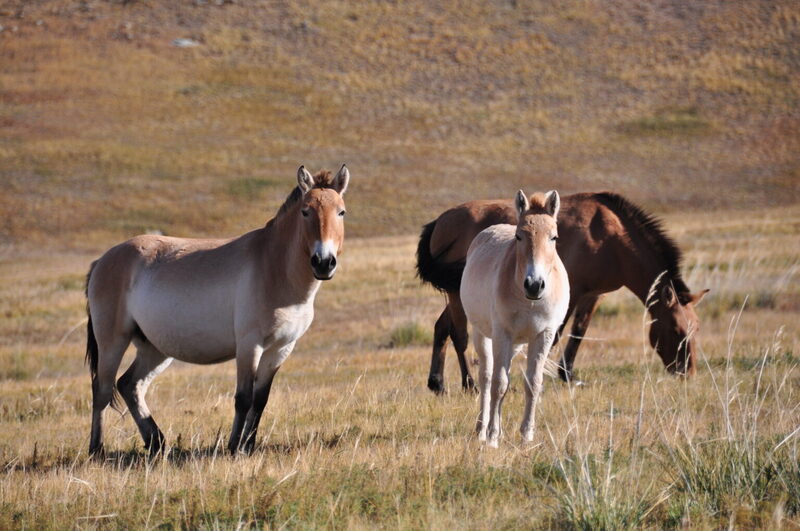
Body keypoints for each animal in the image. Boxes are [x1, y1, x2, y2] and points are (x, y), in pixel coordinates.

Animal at [85, 165, 349, 456]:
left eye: (341, 212)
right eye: (305, 211)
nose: (323, 262)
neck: (274, 268)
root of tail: (102, 260)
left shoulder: (281, 349)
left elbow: (260, 400)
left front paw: (249, 446)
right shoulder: (249, 345)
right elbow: (243, 398)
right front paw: (234, 447)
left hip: (154, 348)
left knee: (130, 385)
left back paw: (157, 443)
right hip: (113, 341)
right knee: (102, 389)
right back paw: (97, 450)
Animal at [417, 192, 708, 393]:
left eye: (695, 328)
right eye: (677, 331)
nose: (687, 372)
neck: (610, 237)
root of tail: (439, 221)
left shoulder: (594, 294)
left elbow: (579, 332)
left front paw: (567, 374)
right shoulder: (571, 291)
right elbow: (556, 334)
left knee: (442, 328)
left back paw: (437, 383)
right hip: (457, 294)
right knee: (458, 334)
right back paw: (469, 384)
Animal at [462, 190, 569, 447]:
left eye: (554, 237)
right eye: (519, 237)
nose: (534, 285)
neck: (528, 300)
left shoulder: (543, 335)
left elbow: (533, 383)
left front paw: (526, 436)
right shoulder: (503, 333)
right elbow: (499, 384)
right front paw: (492, 437)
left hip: (516, 343)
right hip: (483, 335)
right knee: (487, 377)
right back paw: (482, 430)